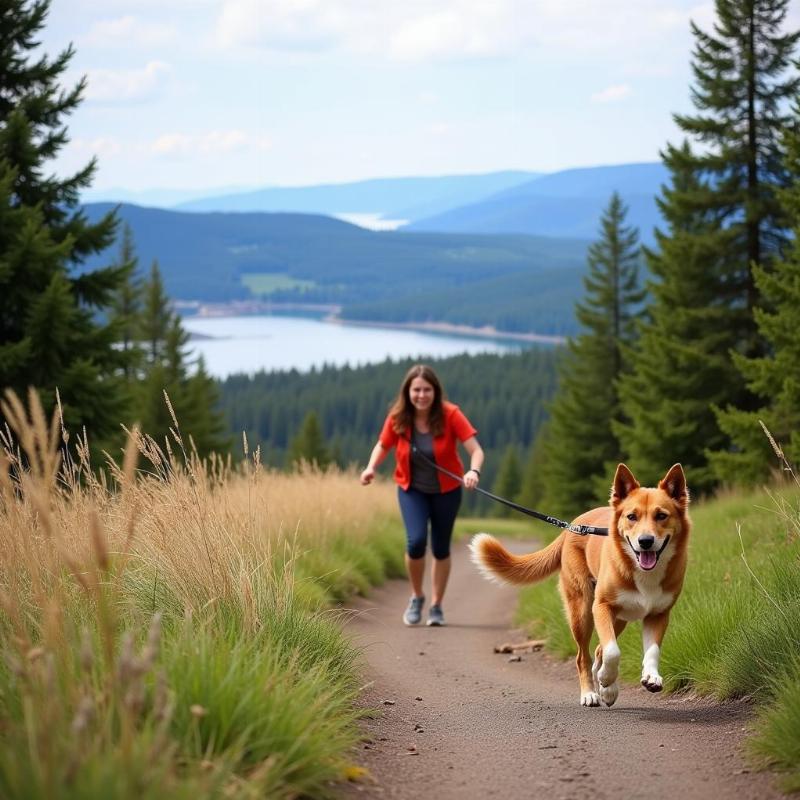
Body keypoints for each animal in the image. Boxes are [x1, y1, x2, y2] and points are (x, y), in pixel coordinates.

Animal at [468, 462, 688, 708]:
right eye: (632, 516)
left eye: (661, 516)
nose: (645, 541)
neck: (643, 572)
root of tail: (572, 527)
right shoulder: (601, 607)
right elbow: (612, 651)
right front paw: (605, 678)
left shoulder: (658, 615)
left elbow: (652, 651)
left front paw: (650, 677)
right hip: (582, 611)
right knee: (583, 656)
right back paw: (591, 692)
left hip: (618, 619)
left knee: (599, 649)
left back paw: (606, 689)